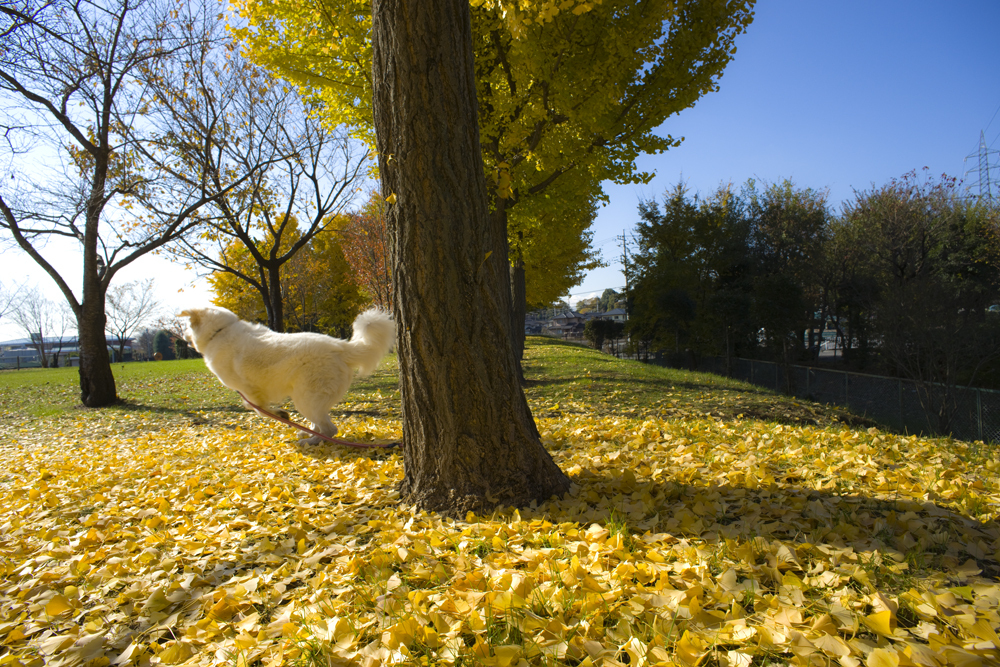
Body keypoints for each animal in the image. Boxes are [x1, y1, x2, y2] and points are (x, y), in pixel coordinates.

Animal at [180, 306, 394, 444]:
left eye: (187, 326)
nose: (182, 336)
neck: (219, 332)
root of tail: (340, 346)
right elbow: (257, 408)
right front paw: (281, 414)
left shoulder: (249, 391)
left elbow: (257, 408)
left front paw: (280, 414)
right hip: (309, 400)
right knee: (320, 423)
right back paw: (308, 435)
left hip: (305, 399)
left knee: (329, 429)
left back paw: (311, 441)